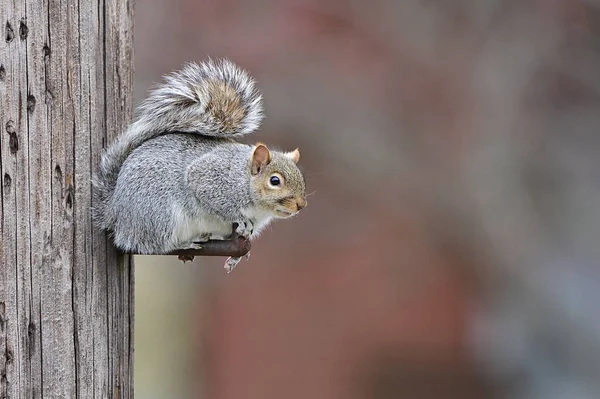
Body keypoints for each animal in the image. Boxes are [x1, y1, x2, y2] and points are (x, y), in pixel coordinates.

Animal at [92, 57, 310, 274]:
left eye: (301, 178)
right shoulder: (210, 178)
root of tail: (115, 211)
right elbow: (215, 199)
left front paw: (236, 258)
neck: (244, 179)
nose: (301, 205)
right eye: (275, 180)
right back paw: (184, 243)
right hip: (159, 214)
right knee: (151, 244)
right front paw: (238, 218)